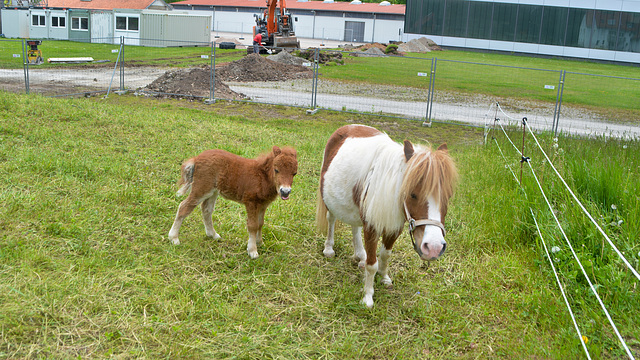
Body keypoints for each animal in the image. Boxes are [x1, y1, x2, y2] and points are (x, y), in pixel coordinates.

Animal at [170, 146, 300, 258]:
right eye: (276, 170)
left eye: (294, 173)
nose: (285, 192)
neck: (262, 176)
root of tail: (196, 159)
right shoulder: (251, 202)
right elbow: (252, 225)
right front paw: (252, 251)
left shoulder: (263, 205)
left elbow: (260, 223)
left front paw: (260, 242)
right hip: (202, 188)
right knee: (184, 207)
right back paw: (174, 238)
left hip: (213, 191)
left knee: (206, 210)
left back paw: (213, 235)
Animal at [316, 124, 456, 306]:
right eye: (412, 194)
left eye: (448, 196)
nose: (434, 247)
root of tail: (348, 127)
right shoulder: (372, 227)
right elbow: (372, 264)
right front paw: (368, 296)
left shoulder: (394, 227)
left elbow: (385, 254)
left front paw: (384, 277)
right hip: (329, 200)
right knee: (331, 219)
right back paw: (329, 249)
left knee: (355, 227)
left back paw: (359, 255)